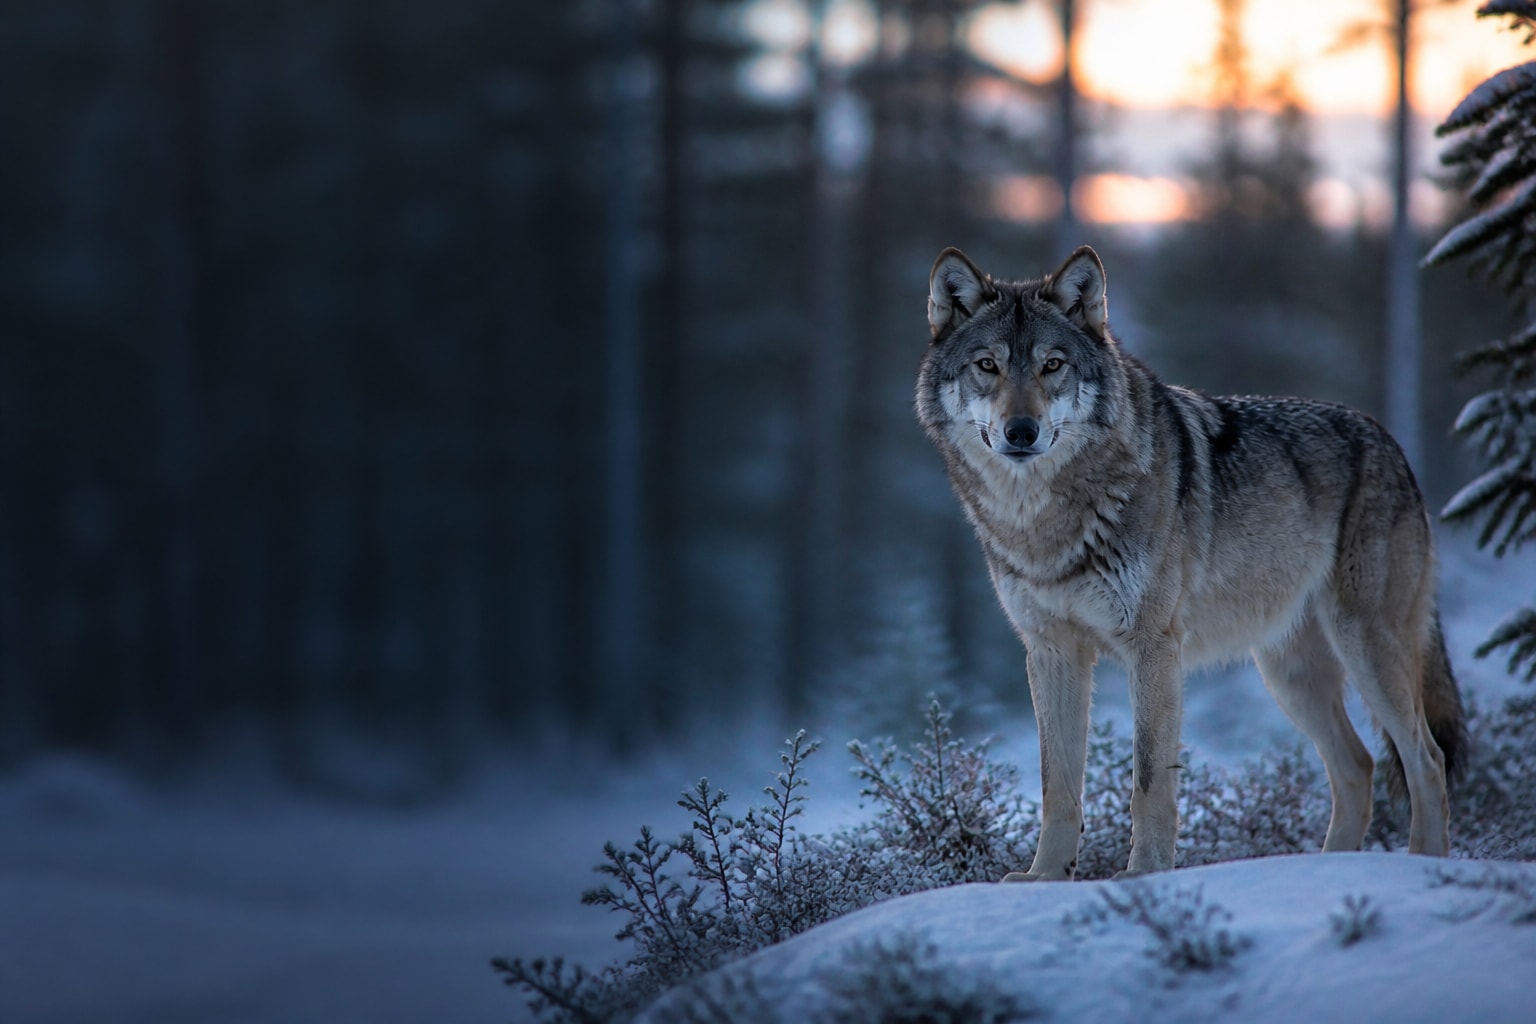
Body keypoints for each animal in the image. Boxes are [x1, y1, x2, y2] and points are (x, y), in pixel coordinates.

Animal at [915, 245, 1467, 880]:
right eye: (988, 365)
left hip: (1366, 650)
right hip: (1288, 674)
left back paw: (1427, 870)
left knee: (1425, 758)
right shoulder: (1052, 652)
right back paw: (1324, 873)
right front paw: (1044, 878)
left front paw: (1144, 874)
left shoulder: (1153, 646)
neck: (1045, 524)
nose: (1022, 431)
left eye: (1052, 366)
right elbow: (1059, 786)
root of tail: (1391, 441)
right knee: (1359, 766)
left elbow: (1150, 779)